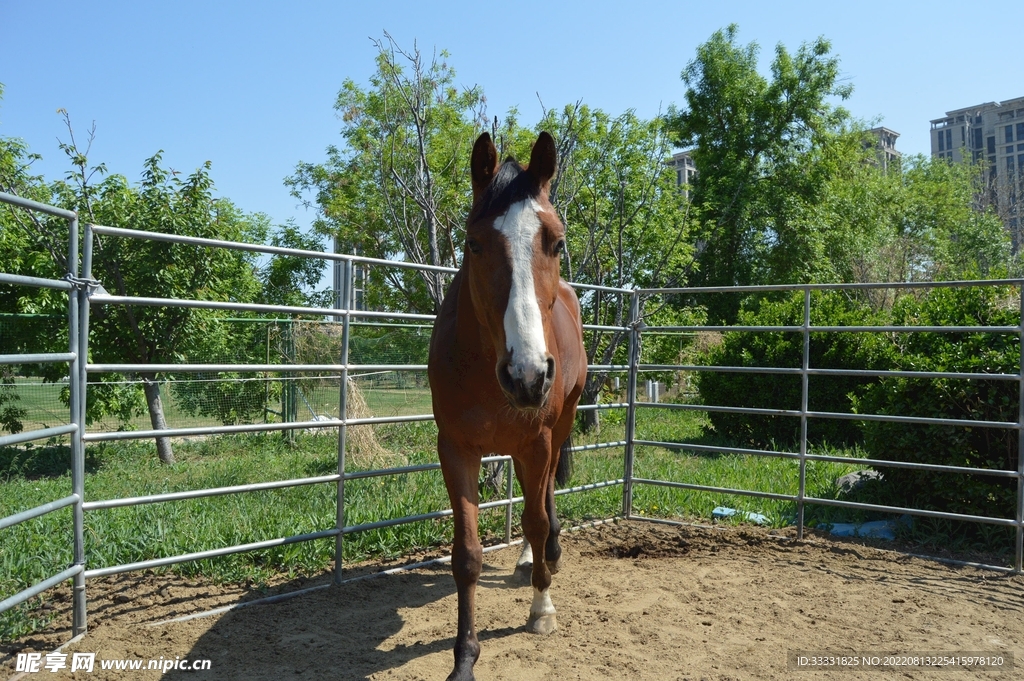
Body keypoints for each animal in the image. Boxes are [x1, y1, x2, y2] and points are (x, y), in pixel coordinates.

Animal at [427, 131, 587, 681]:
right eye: (475, 243)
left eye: (557, 242)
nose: (528, 375)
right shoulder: (456, 450)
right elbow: (467, 555)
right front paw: (464, 657)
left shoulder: (537, 439)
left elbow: (536, 518)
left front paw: (542, 609)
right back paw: (527, 560)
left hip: (557, 428)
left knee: (544, 498)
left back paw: (545, 559)